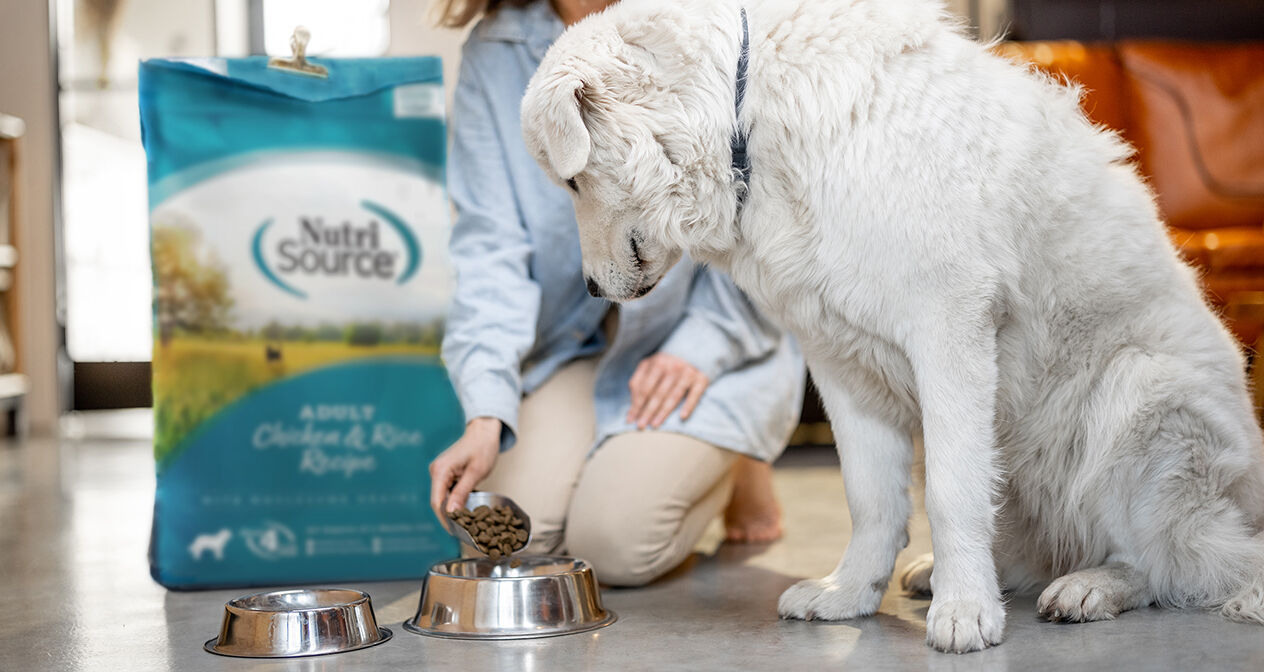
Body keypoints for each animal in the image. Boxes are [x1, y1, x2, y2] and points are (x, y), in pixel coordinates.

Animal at [515, 0, 1264, 651]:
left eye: (573, 183)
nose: (590, 287)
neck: (748, 123)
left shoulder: (949, 333)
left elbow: (954, 493)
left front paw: (967, 614)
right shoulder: (841, 362)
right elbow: (871, 498)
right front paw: (850, 594)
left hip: (1137, 392)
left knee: (1173, 561)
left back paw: (1091, 587)